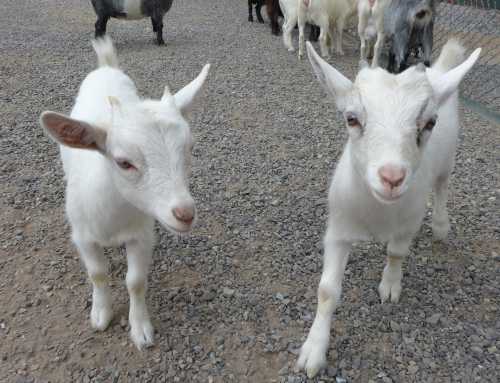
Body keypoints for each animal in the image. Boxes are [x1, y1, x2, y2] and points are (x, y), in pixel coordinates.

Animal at [296, 39, 480, 378]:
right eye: (351, 119)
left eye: (429, 122)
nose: (392, 177)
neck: (378, 212)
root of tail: (441, 73)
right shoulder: (337, 229)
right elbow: (327, 290)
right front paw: (313, 350)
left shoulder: (408, 223)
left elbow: (396, 253)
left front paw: (390, 285)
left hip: (448, 159)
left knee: (442, 186)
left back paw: (441, 225)